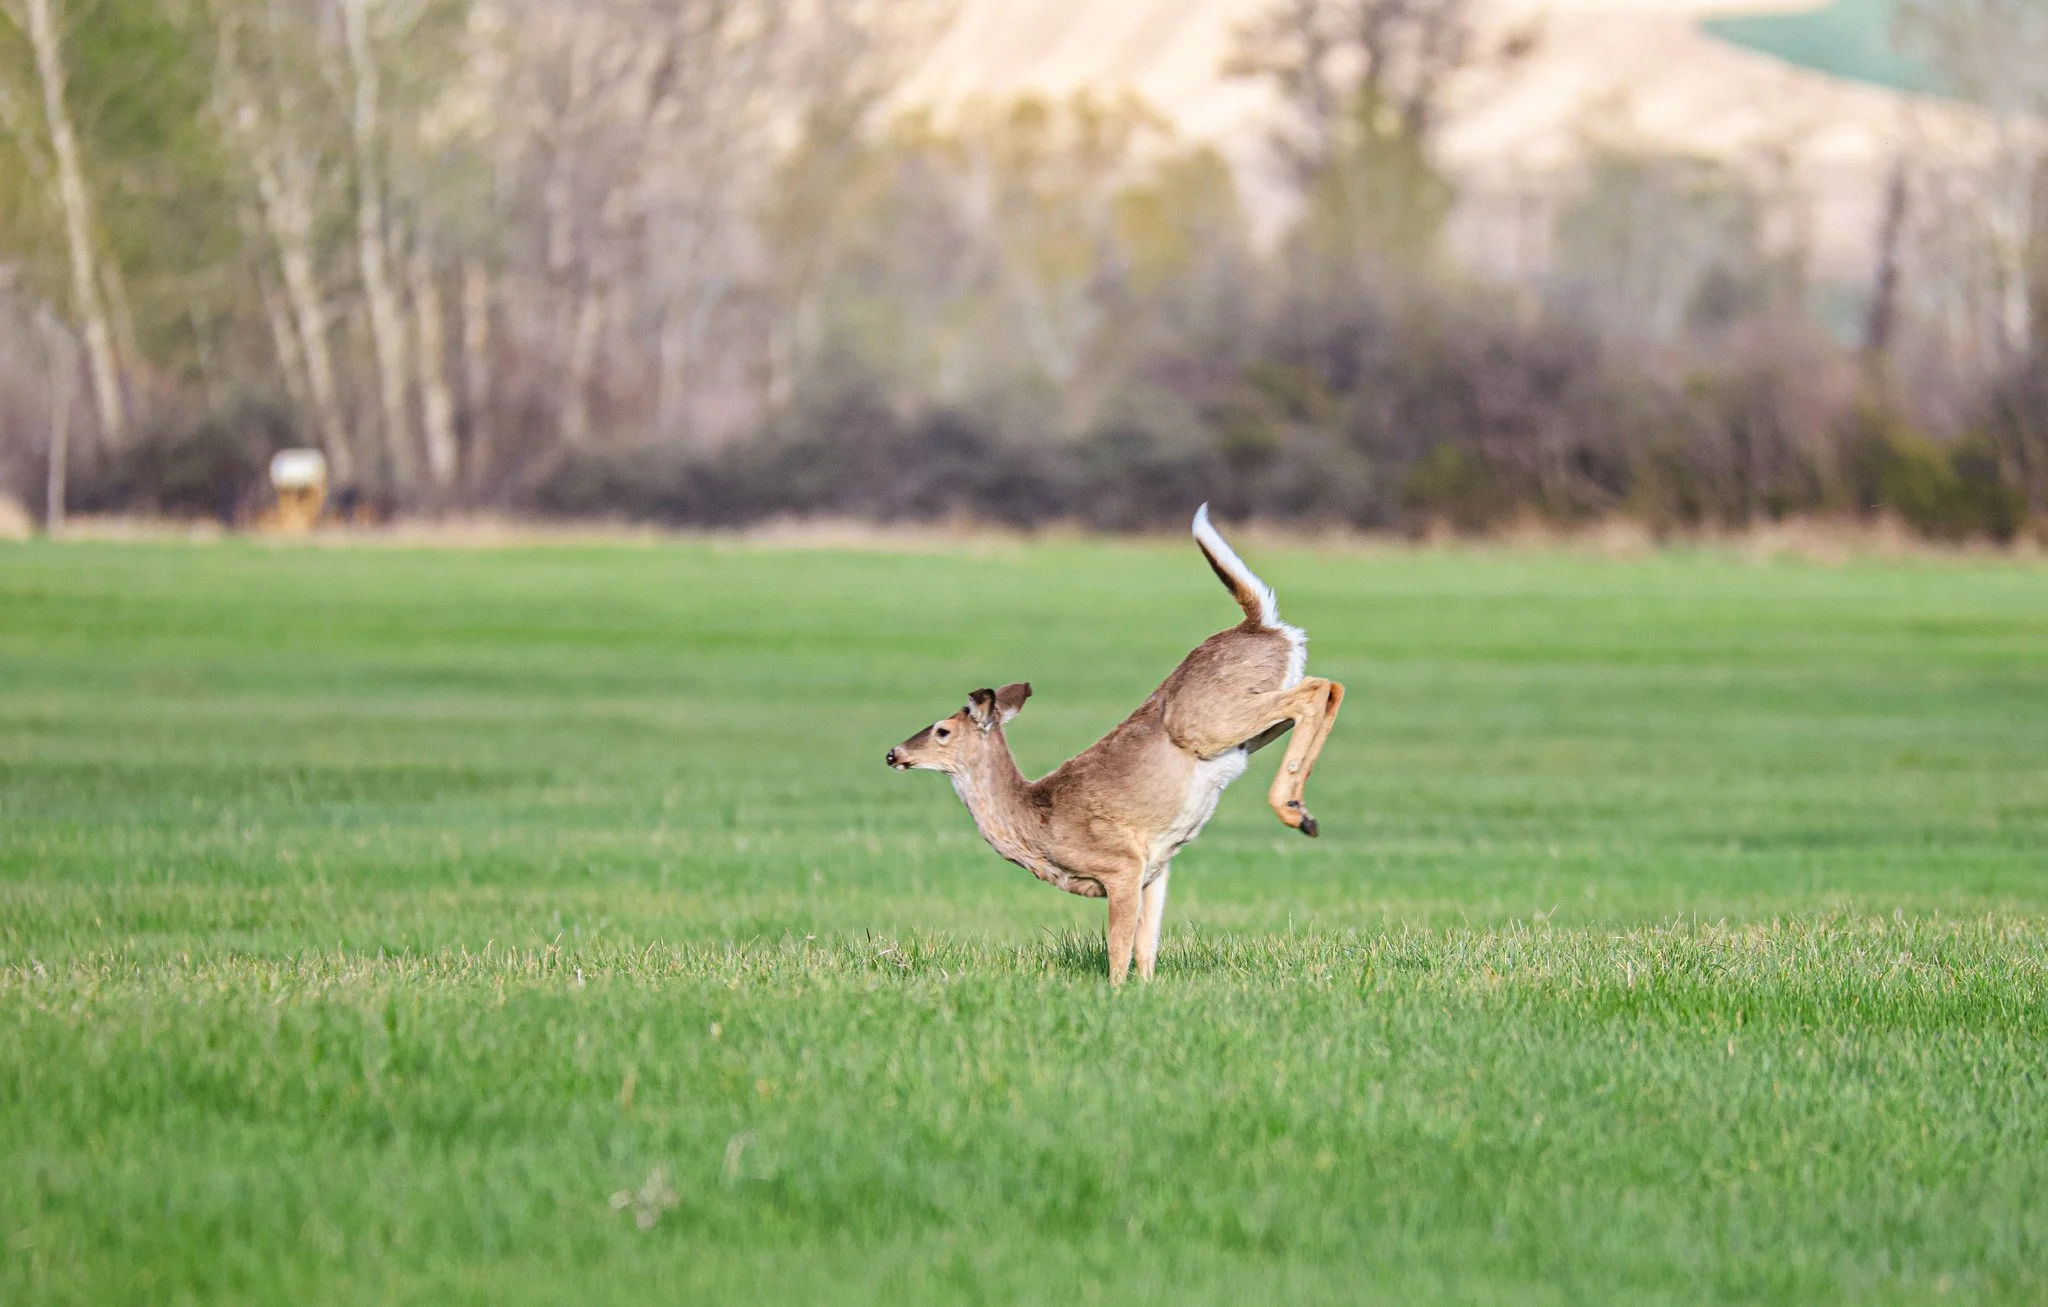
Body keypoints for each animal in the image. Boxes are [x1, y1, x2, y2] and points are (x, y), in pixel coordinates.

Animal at [885, 504, 1345, 985]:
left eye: (941, 730)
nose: (894, 754)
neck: (1037, 822)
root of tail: (1260, 623)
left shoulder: (1121, 863)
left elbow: (1119, 946)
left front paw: (1115, 991)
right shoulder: (1156, 868)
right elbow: (1147, 947)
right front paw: (1144, 989)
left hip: (1207, 722)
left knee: (1317, 689)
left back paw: (1294, 812)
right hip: (1245, 730)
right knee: (1329, 688)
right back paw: (1302, 812)